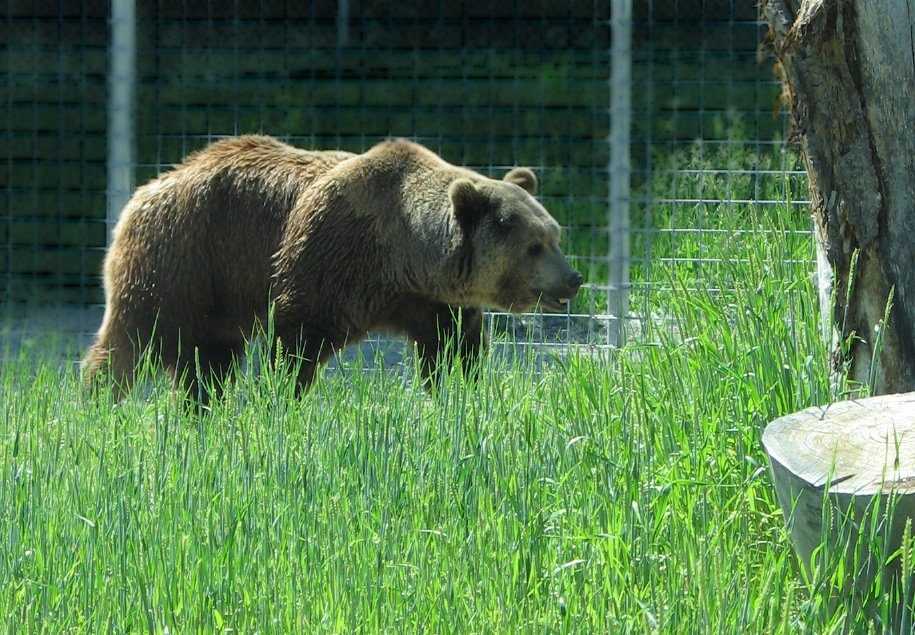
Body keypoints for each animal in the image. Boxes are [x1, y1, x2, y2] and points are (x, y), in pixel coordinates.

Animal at [81, 135, 583, 399]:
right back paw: (98, 401)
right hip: (182, 258)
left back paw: (201, 408)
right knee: (133, 339)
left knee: (208, 360)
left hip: (215, 291)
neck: (402, 258)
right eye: (534, 246)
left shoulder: (433, 301)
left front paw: (459, 394)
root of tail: (148, 188)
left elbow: (454, 350)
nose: (575, 278)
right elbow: (297, 340)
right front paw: (284, 398)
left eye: (555, 235)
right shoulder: (326, 260)